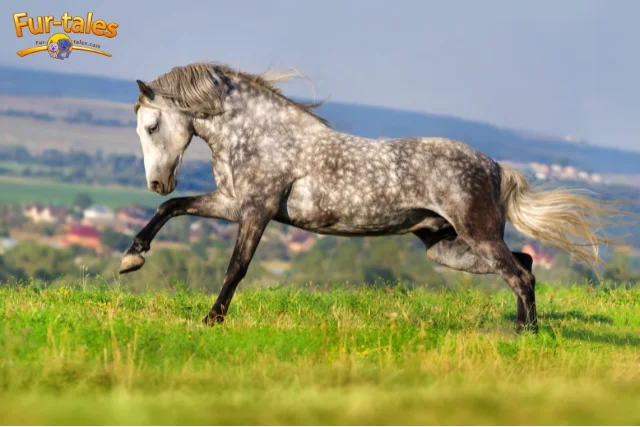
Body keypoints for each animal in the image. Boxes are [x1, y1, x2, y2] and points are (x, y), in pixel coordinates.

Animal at [120, 62, 625, 333]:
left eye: (152, 126)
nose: (157, 182)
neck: (262, 136)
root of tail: (497, 168)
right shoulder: (232, 203)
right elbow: (172, 209)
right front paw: (132, 258)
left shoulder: (256, 212)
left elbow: (236, 267)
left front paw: (212, 320)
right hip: (447, 247)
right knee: (525, 265)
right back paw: (523, 329)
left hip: (477, 237)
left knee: (519, 275)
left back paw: (527, 336)